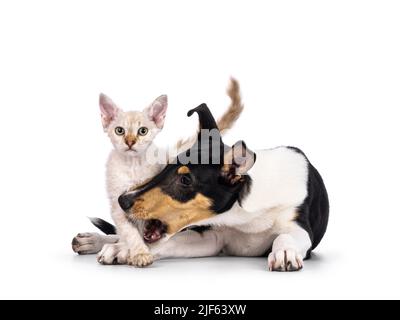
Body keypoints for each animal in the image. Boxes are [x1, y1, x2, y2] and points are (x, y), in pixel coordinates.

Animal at [72, 79, 244, 266]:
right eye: (119, 130)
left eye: (143, 131)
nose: (130, 141)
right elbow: (131, 230)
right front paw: (132, 249)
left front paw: (133, 252)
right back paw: (93, 241)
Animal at [116, 104, 328, 272]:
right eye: (165, 167)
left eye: (185, 180)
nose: (122, 200)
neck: (246, 216)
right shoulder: (212, 238)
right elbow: (172, 242)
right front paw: (126, 250)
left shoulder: (299, 226)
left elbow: (285, 236)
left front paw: (284, 253)